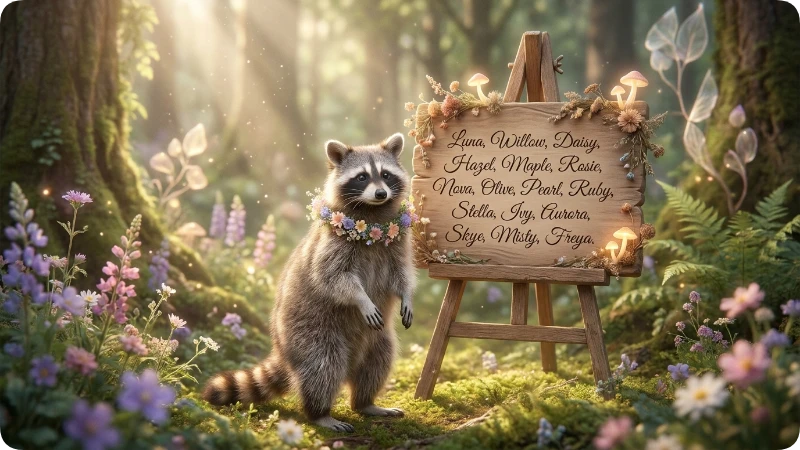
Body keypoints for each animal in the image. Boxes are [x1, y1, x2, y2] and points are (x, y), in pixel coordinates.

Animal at [203, 133, 416, 432]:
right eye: (362, 177)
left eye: (385, 174)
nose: (381, 194)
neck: (372, 213)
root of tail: (280, 348)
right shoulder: (332, 245)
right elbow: (333, 277)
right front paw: (361, 298)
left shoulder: (398, 243)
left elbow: (401, 274)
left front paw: (407, 295)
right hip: (309, 330)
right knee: (322, 366)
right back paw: (319, 412)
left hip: (376, 337)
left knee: (379, 360)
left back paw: (365, 403)